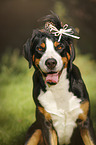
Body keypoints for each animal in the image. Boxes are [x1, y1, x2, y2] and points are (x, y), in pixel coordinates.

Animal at [22, 12, 95, 145]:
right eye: (40, 48)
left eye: (60, 46)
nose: (51, 62)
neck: (58, 89)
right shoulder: (47, 125)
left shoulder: (85, 122)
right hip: (35, 130)